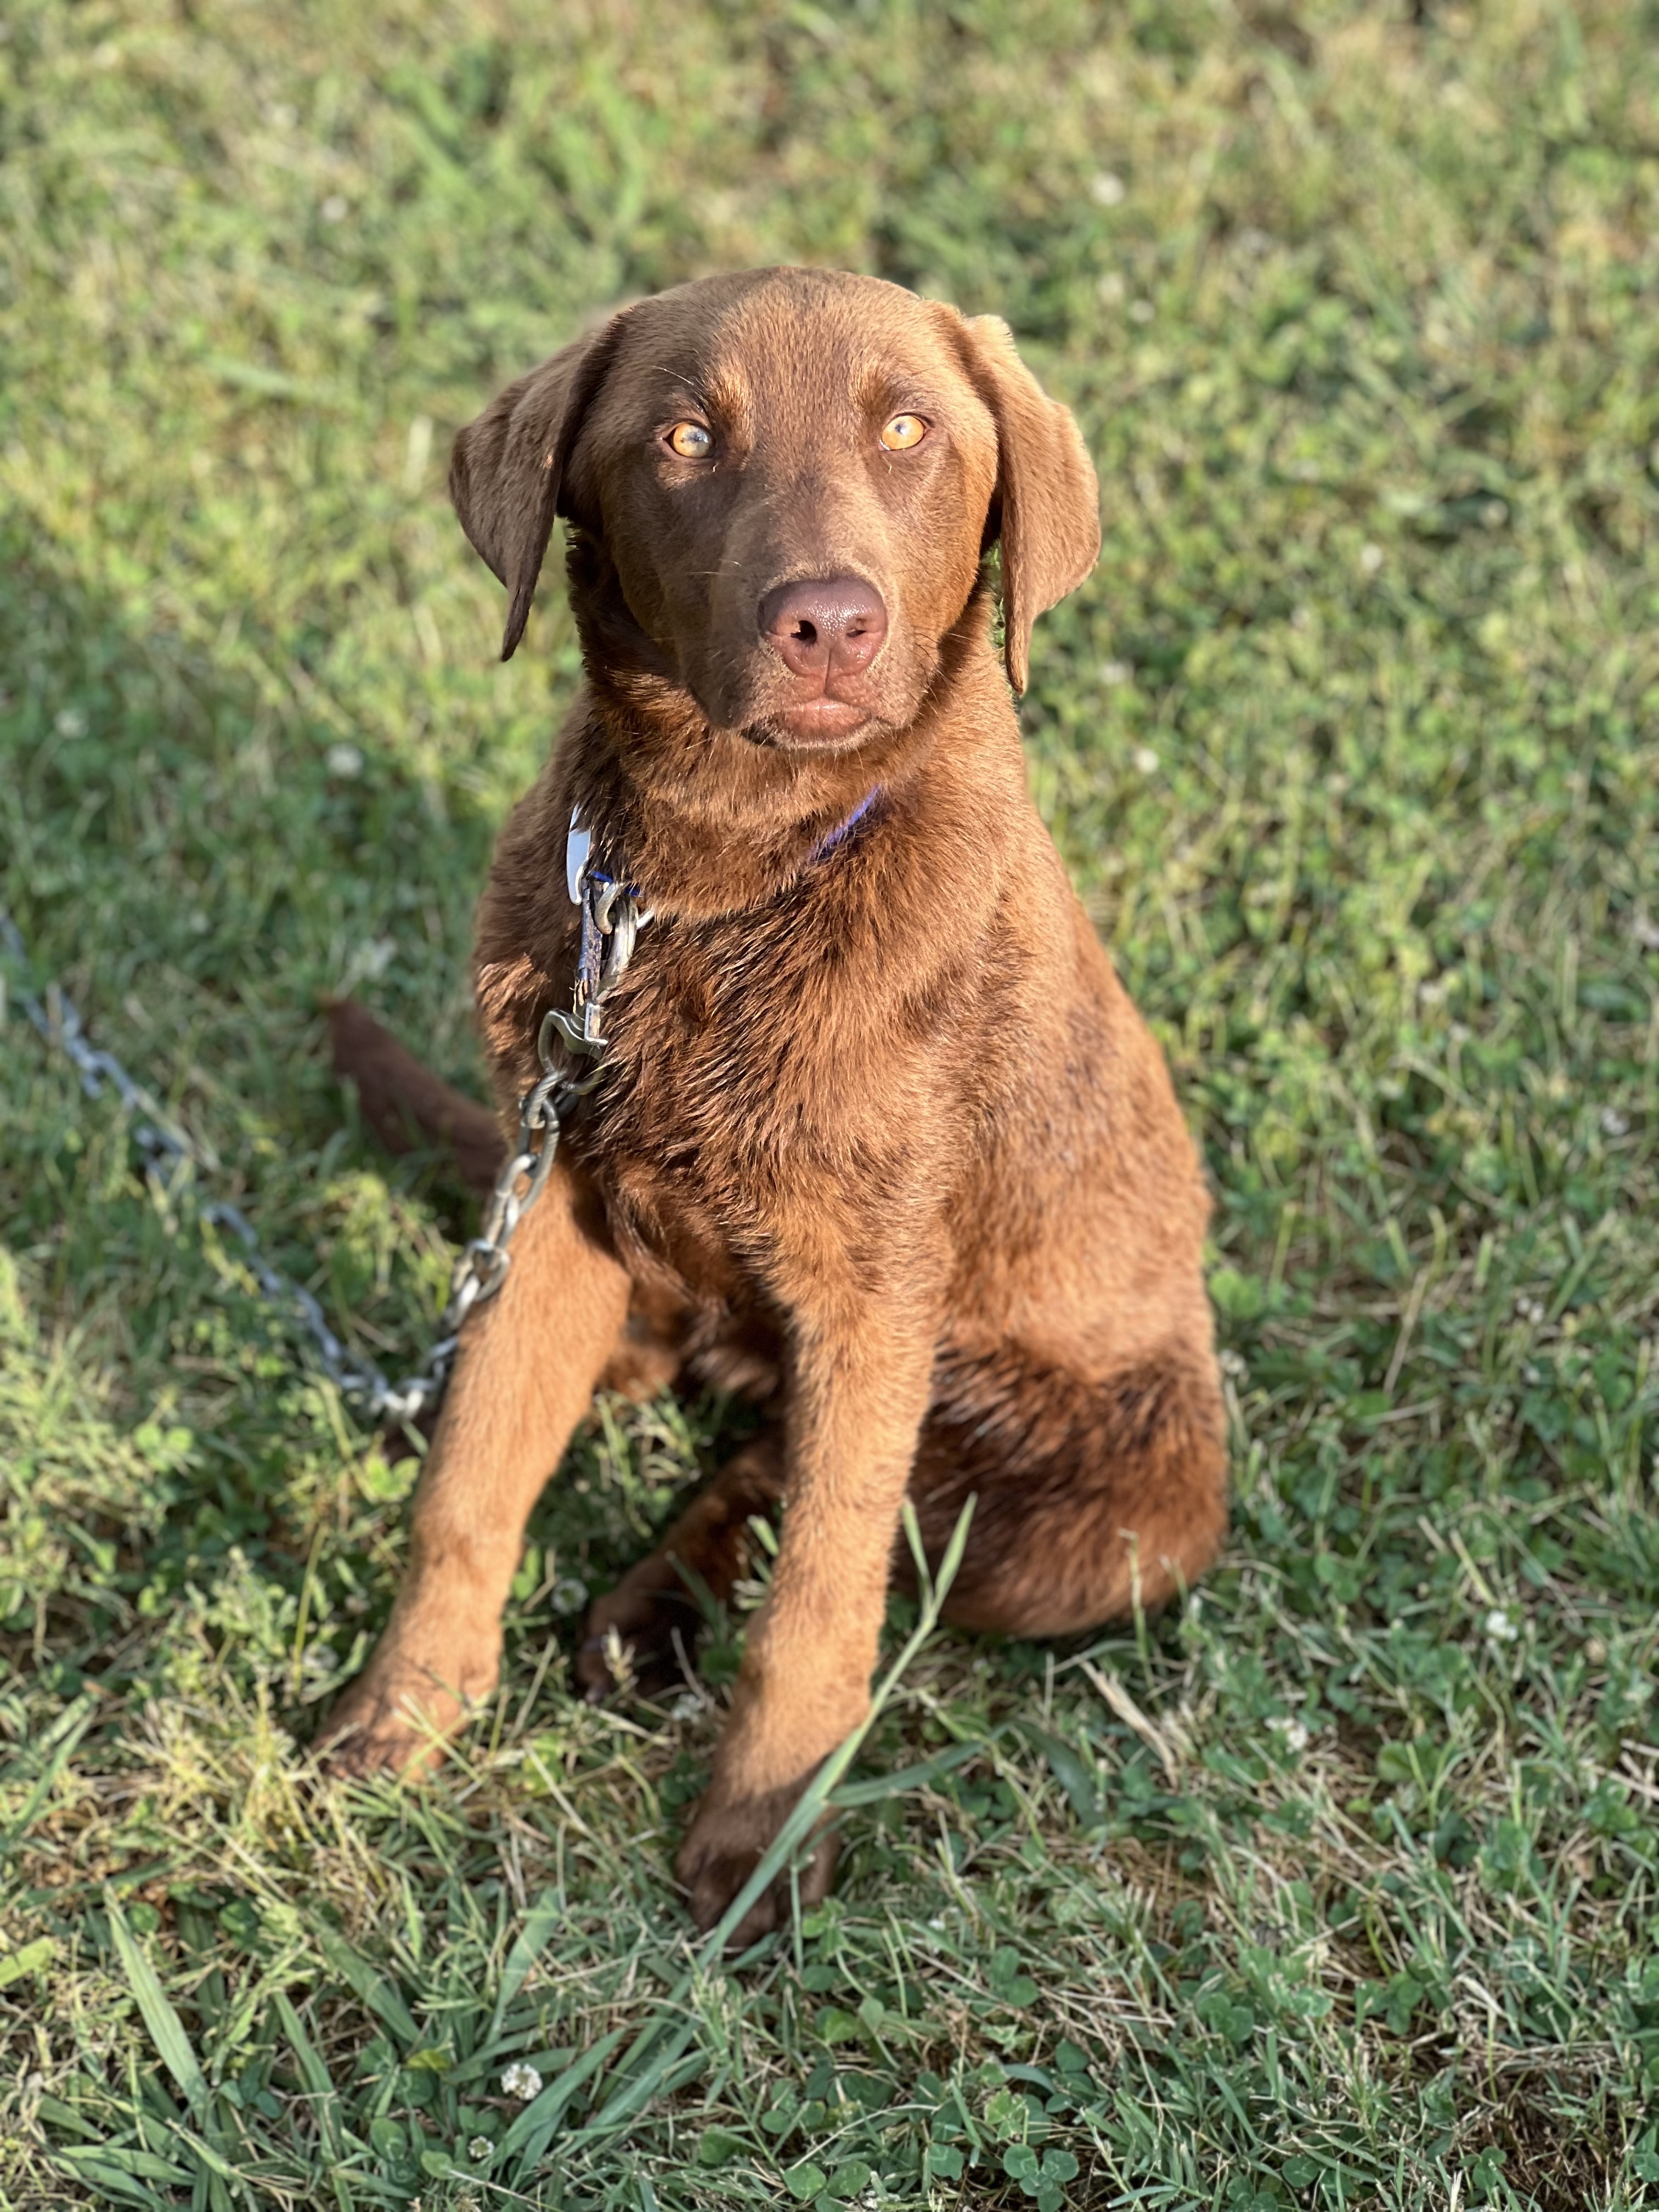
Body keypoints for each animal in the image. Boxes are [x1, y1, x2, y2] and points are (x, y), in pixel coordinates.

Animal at [327, 272, 1238, 1938]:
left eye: (910, 432)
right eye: (686, 439)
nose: (828, 622)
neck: (710, 881)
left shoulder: (875, 1290)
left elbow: (825, 1590)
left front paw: (759, 1830)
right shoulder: (546, 1214)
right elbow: (469, 1476)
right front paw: (405, 1714)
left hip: (1117, 1520)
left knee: (843, 1503)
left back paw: (655, 1617)